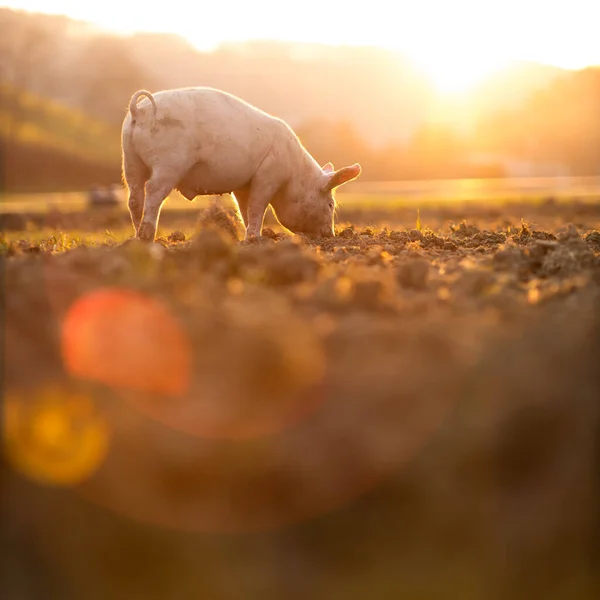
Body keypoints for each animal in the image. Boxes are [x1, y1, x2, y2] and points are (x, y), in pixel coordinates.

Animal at [119, 86, 358, 241]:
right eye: (330, 204)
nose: (330, 236)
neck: (295, 175)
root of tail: (139, 111)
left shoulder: (243, 186)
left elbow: (244, 209)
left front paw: (247, 239)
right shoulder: (269, 173)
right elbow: (258, 206)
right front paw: (256, 239)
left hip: (129, 158)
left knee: (134, 196)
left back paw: (136, 236)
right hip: (169, 162)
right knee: (153, 190)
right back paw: (148, 236)